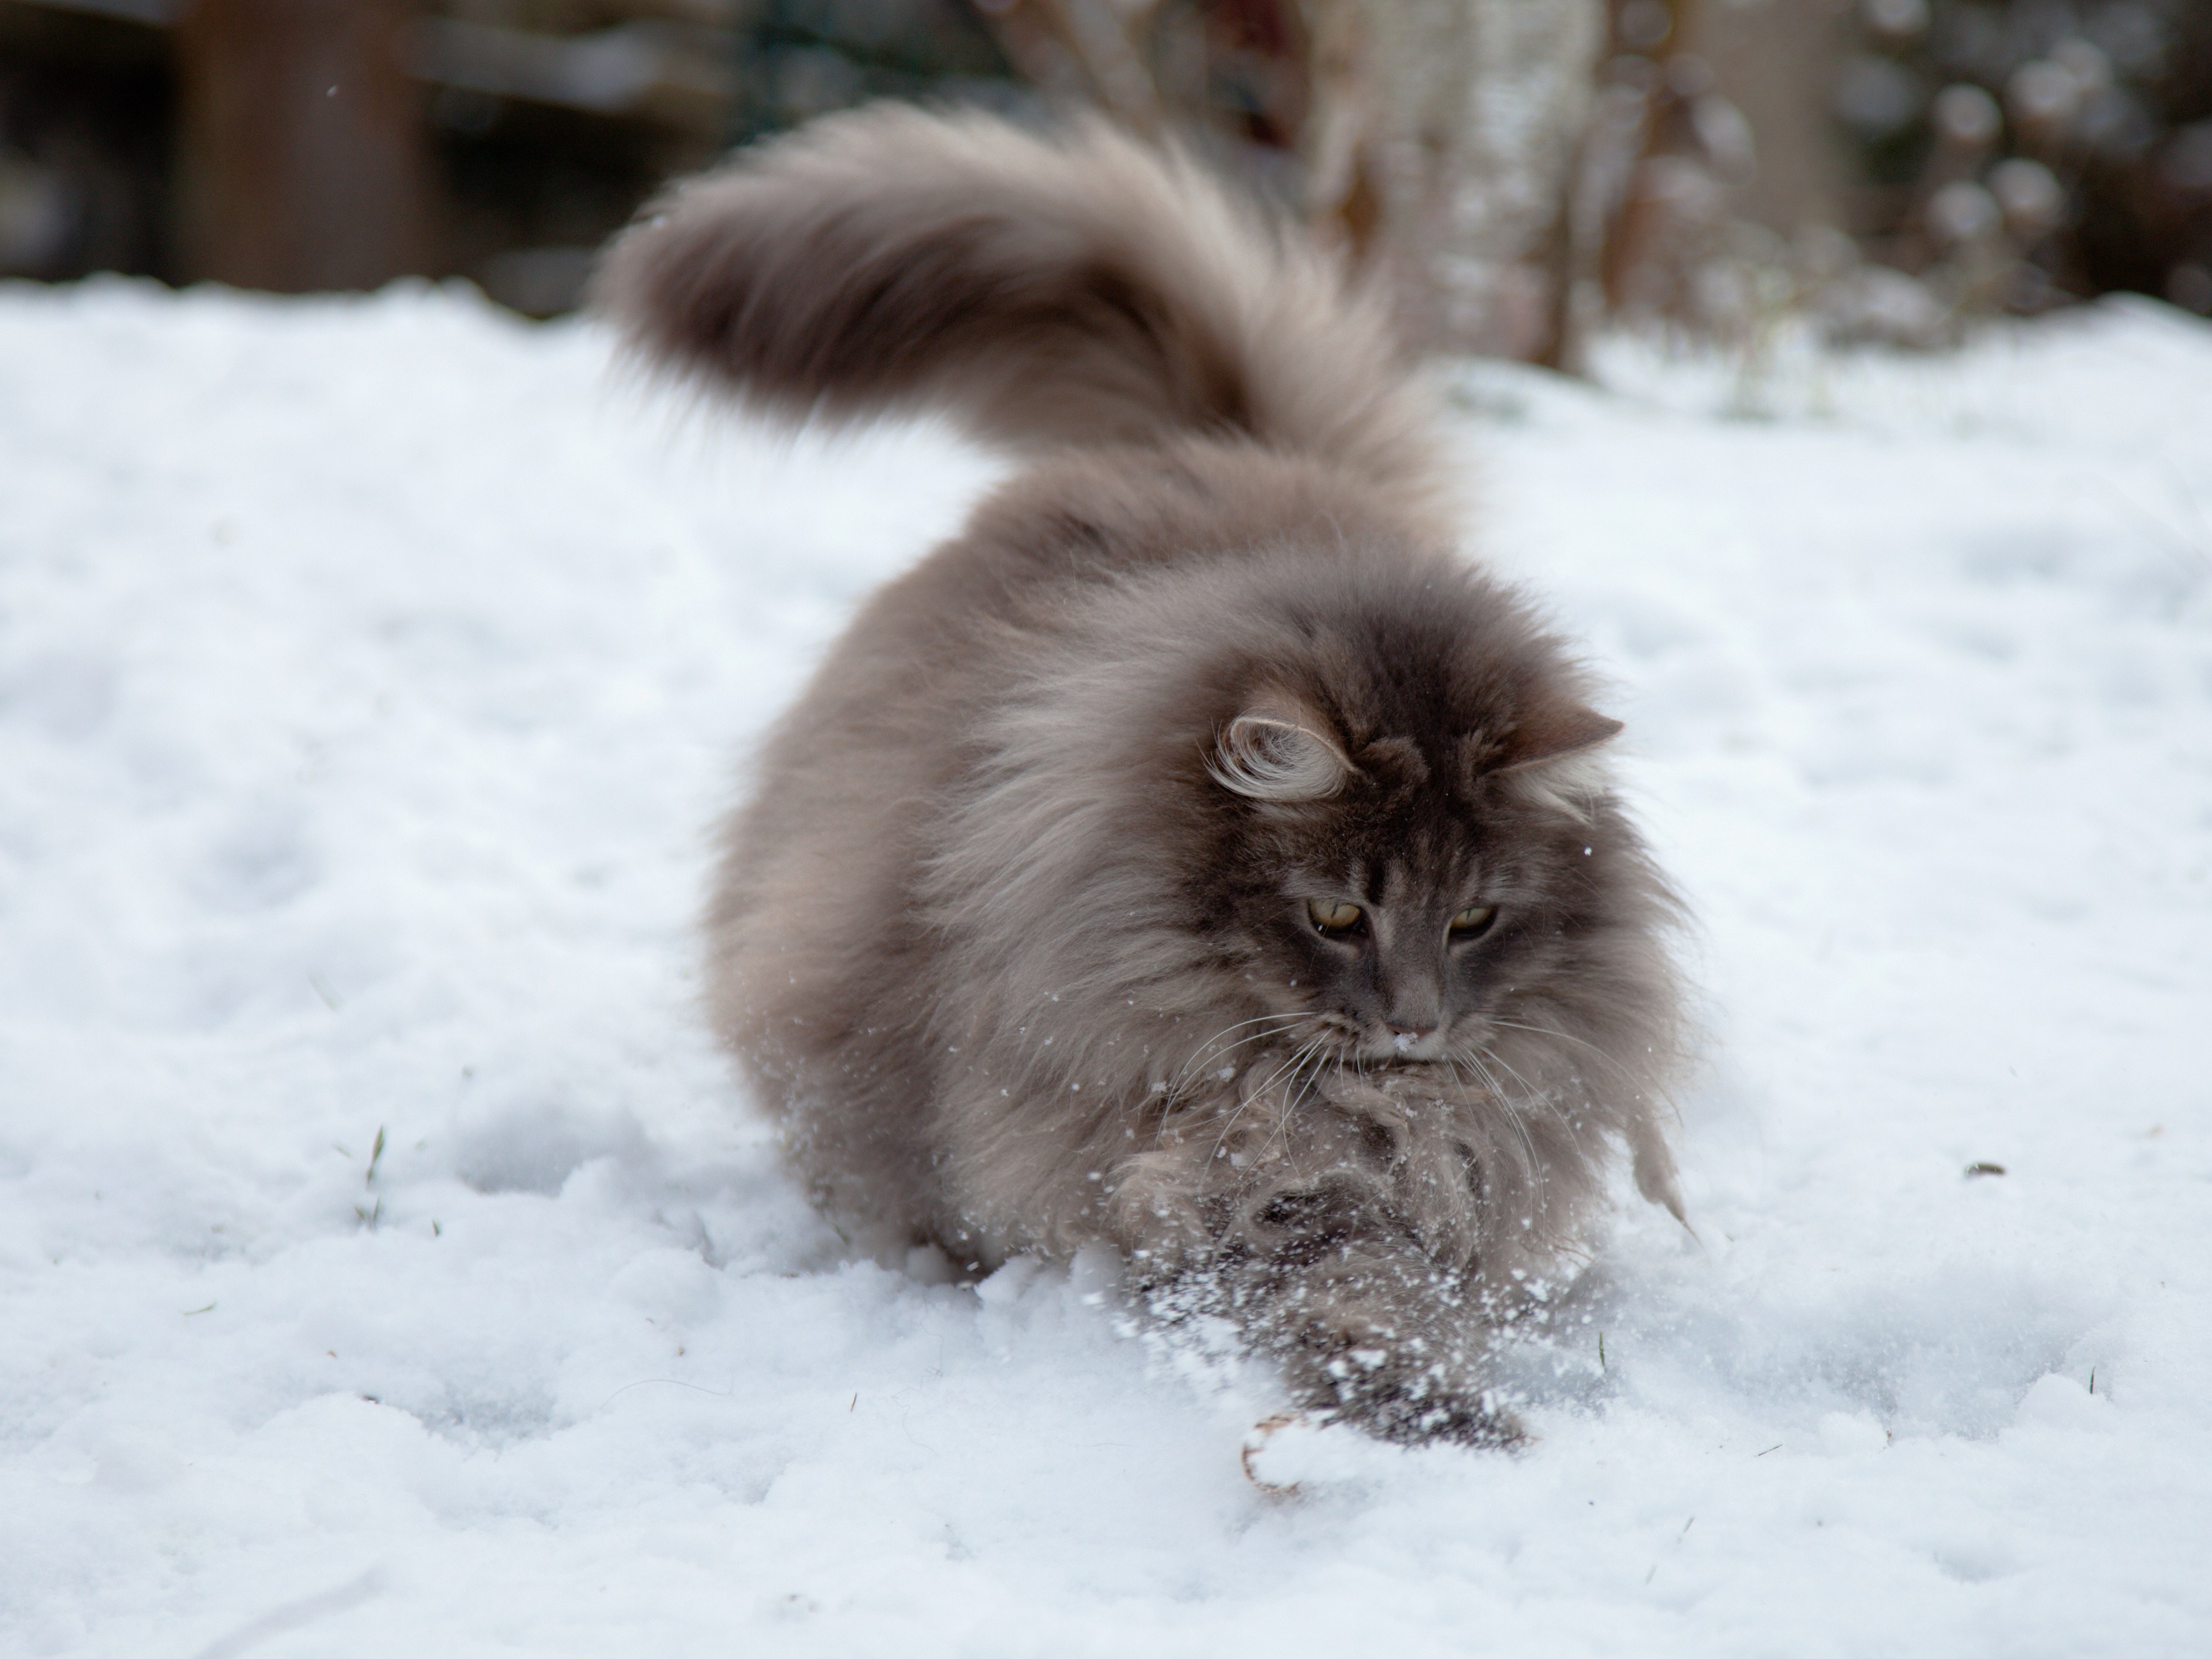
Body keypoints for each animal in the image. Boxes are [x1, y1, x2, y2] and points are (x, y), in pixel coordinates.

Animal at [597, 107, 1681, 1451]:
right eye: (1337, 913)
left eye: (1475, 918)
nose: (1414, 1025)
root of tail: (1206, 441)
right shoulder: (1209, 1180)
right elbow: (1346, 1296)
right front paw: (1417, 1412)